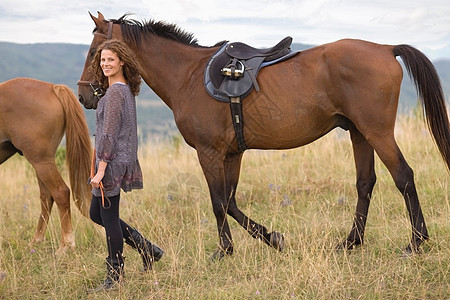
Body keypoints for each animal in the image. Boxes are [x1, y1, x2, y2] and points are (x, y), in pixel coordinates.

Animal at [0, 78, 92, 255]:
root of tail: (53, 88)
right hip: (42, 163)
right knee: (47, 197)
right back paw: (37, 240)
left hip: (41, 162)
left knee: (60, 193)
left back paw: (65, 246)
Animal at [78, 12, 450, 258]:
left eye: (96, 52)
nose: (84, 95)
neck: (188, 76)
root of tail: (386, 48)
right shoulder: (232, 153)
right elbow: (230, 201)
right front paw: (272, 238)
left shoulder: (209, 152)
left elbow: (218, 202)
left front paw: (225, 250)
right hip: (359, 133)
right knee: (365, 183)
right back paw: (350, 242)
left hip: (376, 131)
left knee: (403, 176)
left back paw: (416, 241)